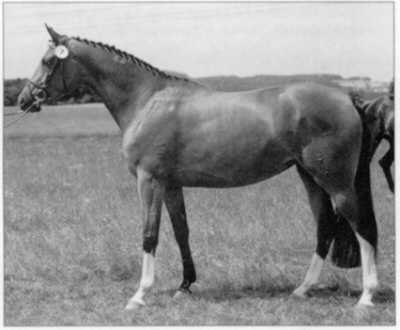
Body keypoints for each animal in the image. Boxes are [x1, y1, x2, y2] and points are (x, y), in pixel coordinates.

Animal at [18, 26, 380, 310]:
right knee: (325, 227)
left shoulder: (149, 181)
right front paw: (185, 286)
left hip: (334, 181)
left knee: (360, 225)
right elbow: (181, 231)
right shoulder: (171, 184)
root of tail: (347, 97)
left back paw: (367, 297)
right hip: (310, 177)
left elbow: (149, 233)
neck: (147, 100)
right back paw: (302, 289)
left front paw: (140, 295)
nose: (23, 100)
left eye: (48, 61)